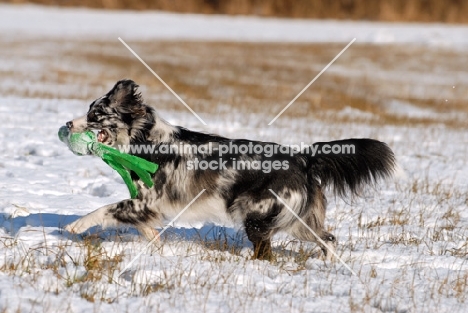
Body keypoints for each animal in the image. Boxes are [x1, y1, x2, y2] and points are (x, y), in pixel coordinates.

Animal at [65, 79, 394, 260]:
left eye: (95, 114)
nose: (67, 124)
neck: (146, 138)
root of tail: (302, 158)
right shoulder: (147, 206)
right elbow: (145, 227)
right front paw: (157, 246)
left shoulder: (147, 201)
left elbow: (107, 208)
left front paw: (76, 225)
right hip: (298, 221)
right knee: (327, 239)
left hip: (258, 217)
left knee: (267, 253)